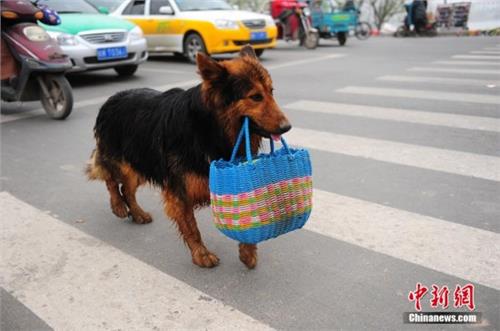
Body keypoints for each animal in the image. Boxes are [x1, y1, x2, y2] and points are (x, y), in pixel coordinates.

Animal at [87, 46, 292, 270]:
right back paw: (118, 206)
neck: (211, 127)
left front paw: (248, 251)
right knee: (110, 179)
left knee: (127, 189)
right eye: (255, 97)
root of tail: (112, 98)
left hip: (140, 165)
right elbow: (192, 227)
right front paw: (201, 254)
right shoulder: (180, 191)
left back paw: (137, 213)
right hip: (122, 161)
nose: (287, 127)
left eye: (271, 92)